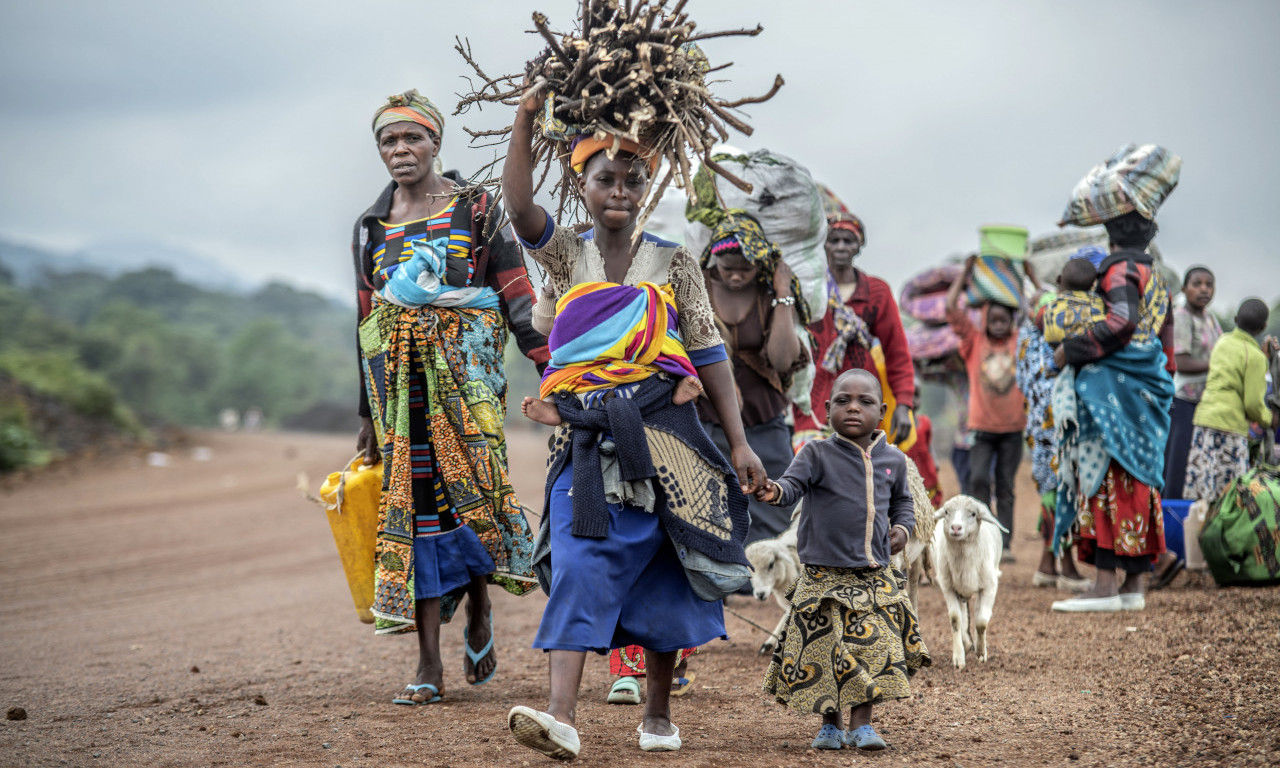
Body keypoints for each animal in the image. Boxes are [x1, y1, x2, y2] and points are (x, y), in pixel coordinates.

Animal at [931, 494, 1008, 670]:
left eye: (973, 514)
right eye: (946, 512)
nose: (956, 527)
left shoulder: (989, 587)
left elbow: (981, 622)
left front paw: (981, 651)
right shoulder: (948, 587)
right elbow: (955, 619)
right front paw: (958, 658)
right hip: (959, 588)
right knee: (963, 615)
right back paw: (965, 642)